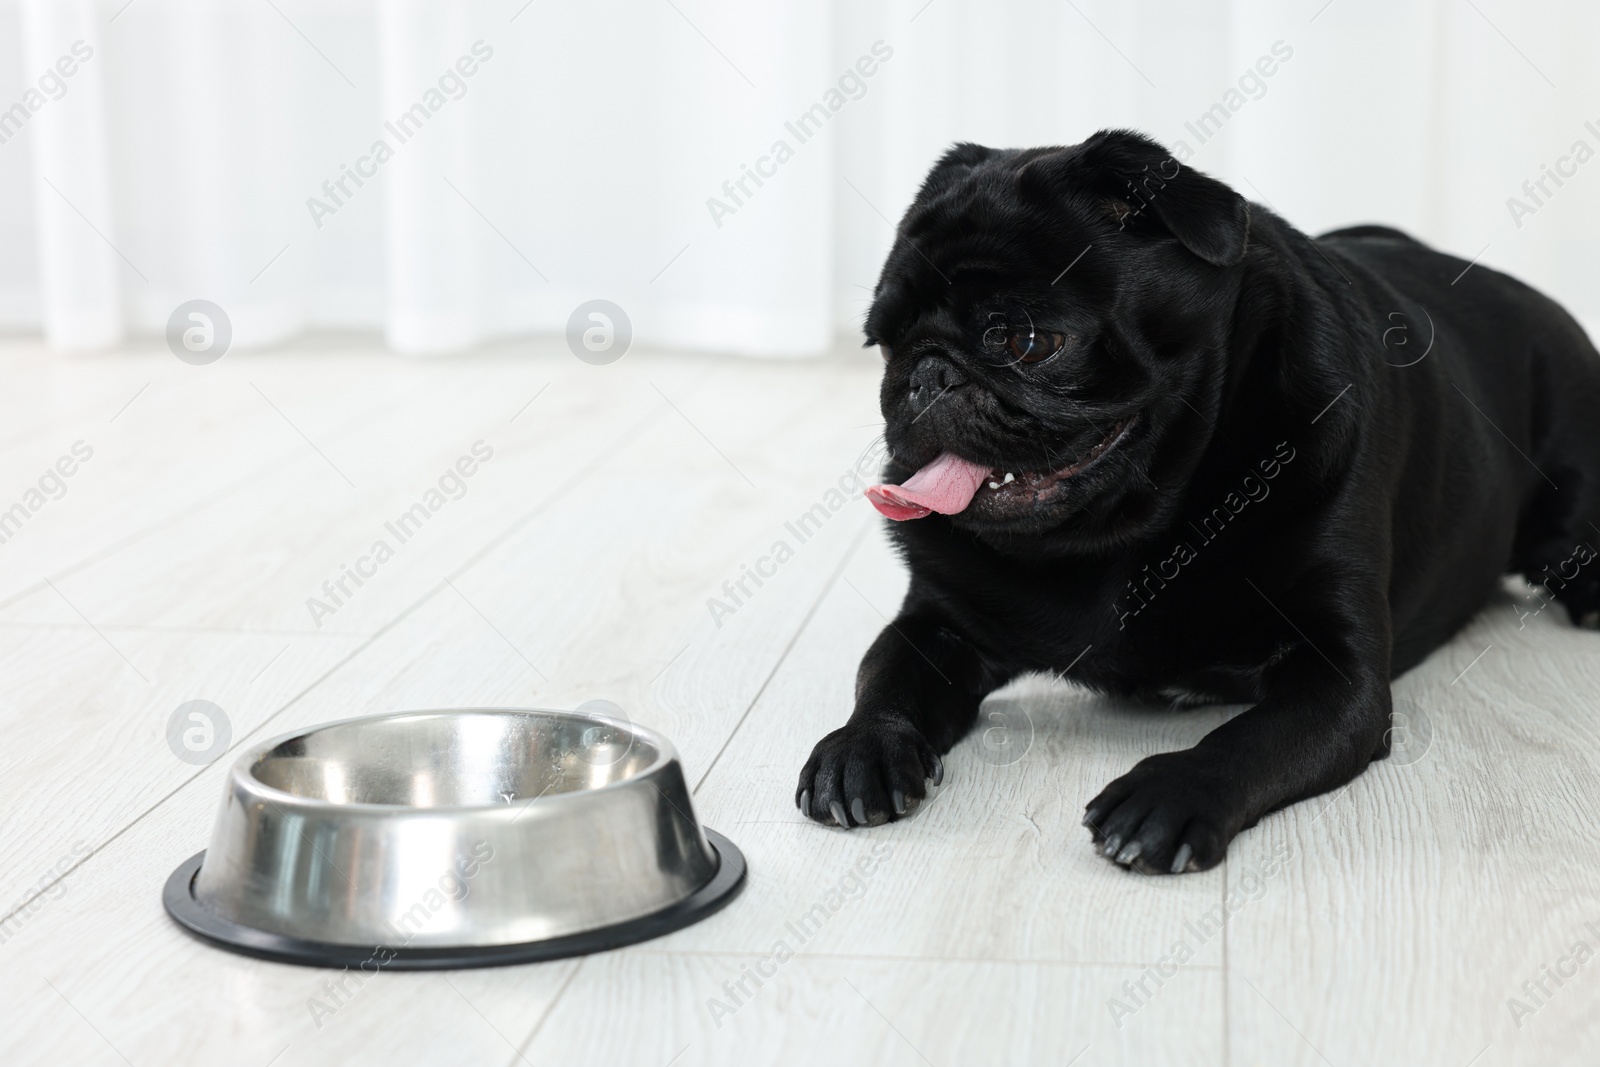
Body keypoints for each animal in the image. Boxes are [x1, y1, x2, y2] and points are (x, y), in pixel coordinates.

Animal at [796, 127, 1600, 876]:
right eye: (883, 341)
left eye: (1024, 340)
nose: (925, 375)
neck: (1125, 536)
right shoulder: (938, 622)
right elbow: (886, 675)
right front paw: (862, 746)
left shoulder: (1338, 674)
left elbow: (1249, 736)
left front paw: (1171, 792)